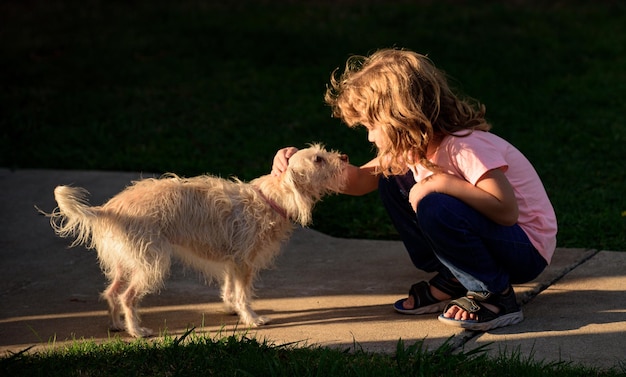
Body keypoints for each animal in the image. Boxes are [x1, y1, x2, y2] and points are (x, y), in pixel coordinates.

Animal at [44, 143, 346, 334]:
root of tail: (108, 209)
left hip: (125, 261)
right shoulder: (244, 263)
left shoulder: (232, 262)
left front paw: (232, 309)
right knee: (127, 297)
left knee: (111, 292)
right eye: (318, 159)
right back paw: (137, 331)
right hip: (150, 262)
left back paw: (117, 325)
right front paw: (252, 318)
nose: (344, 157)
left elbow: (230, 290)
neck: (271, 198)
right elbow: (244, 294)